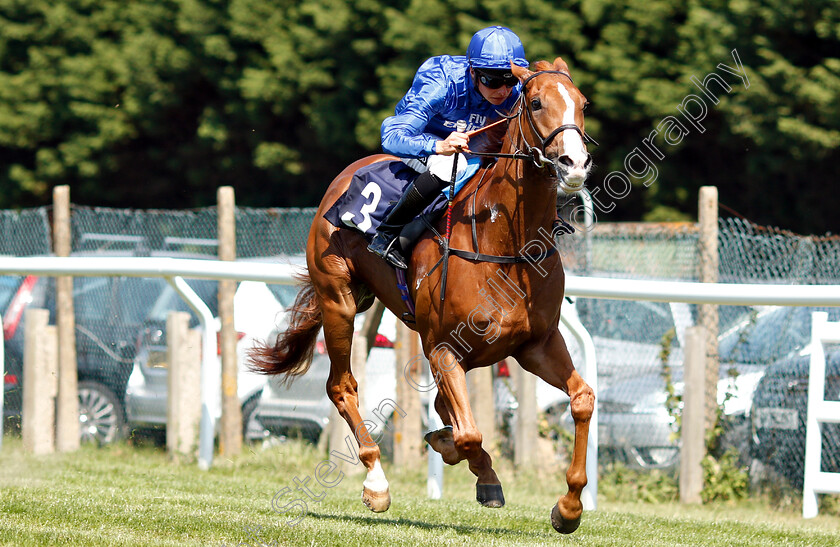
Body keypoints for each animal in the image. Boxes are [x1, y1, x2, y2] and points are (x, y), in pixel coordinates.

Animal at [249, 57, 596, 532]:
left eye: (582, 103)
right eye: (538, 102)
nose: (574, 162)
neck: (505, 243)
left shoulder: (536, 345)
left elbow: (581, 400)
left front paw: (569, 507)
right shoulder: (443, 348)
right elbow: (469, 433)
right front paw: (467, 461)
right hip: (338, 300)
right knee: (342, 386)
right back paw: (376, 481)